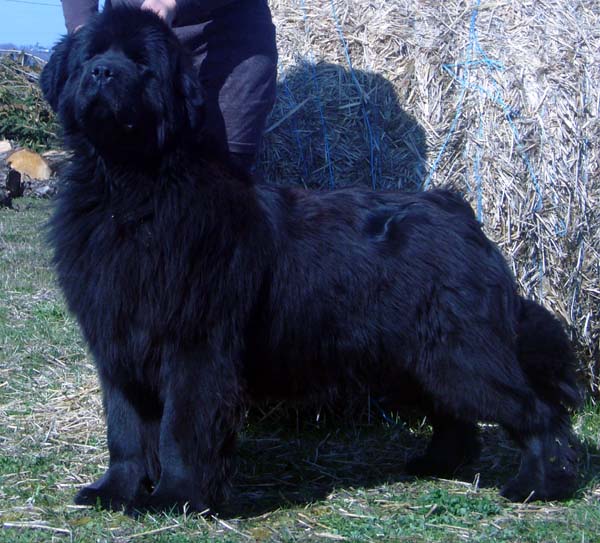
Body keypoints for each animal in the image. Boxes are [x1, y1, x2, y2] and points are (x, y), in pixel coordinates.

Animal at [39, 6, 580, 512]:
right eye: (90, 55)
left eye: (141, 65)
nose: (102, 73)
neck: (131, 192)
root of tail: (457, 209)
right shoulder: (117, 342)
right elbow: (126, 431)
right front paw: (115, 491)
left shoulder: (194, 346)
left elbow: (180, 430)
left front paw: (177, 497)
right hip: (421, 355)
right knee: (455, 414)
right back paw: (440, 463)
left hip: (462, 352)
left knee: (537, 412)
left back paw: (542, 484)